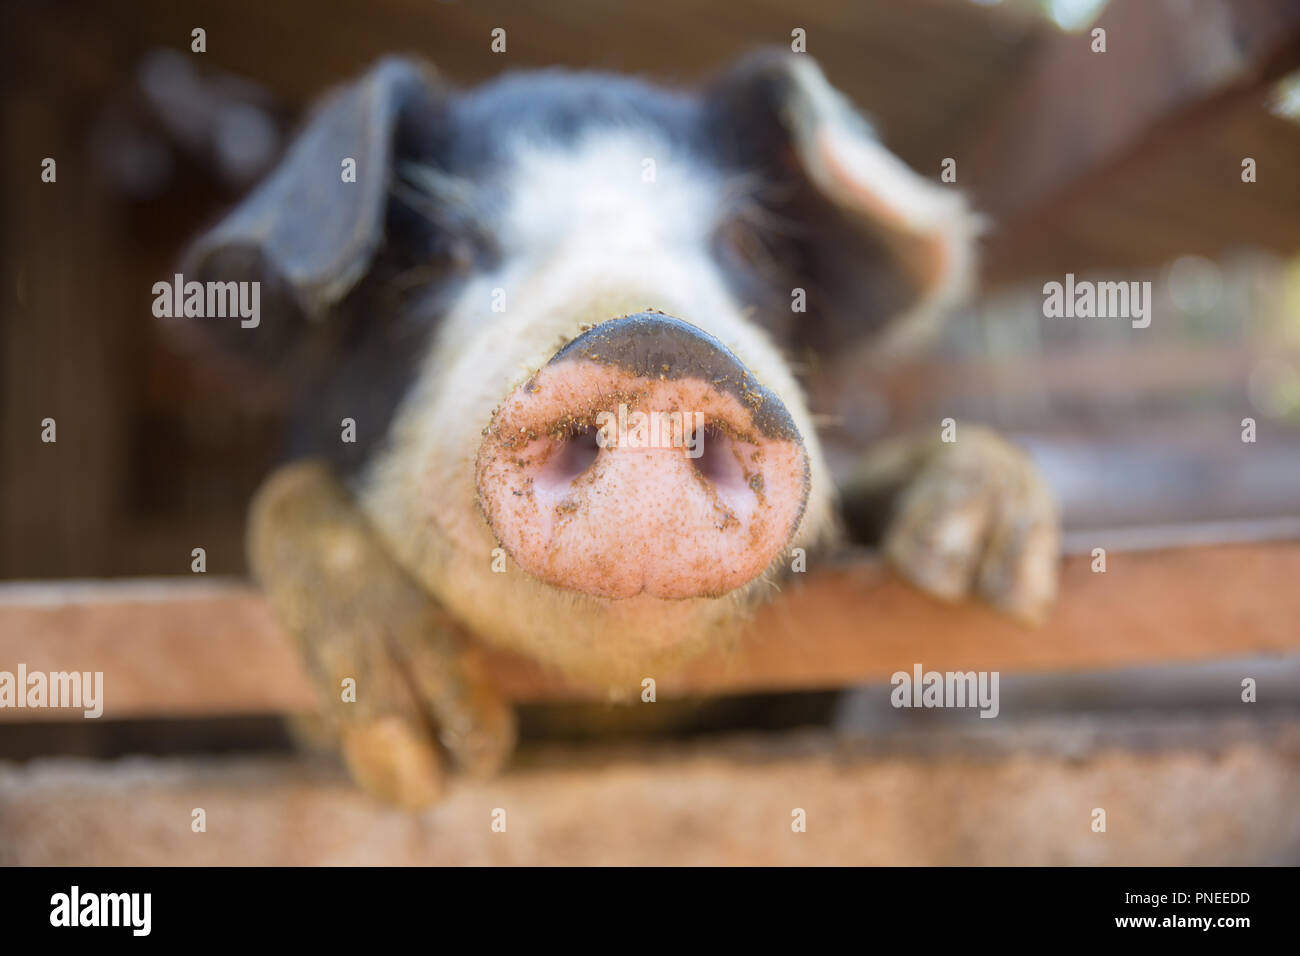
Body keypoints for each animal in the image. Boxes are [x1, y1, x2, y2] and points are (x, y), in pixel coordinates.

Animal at [180, 50, 1055, 806]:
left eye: (747, 243)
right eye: (440, 254)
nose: (652, 341)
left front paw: (979, 556)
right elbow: (285, 496)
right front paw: (419, 753)